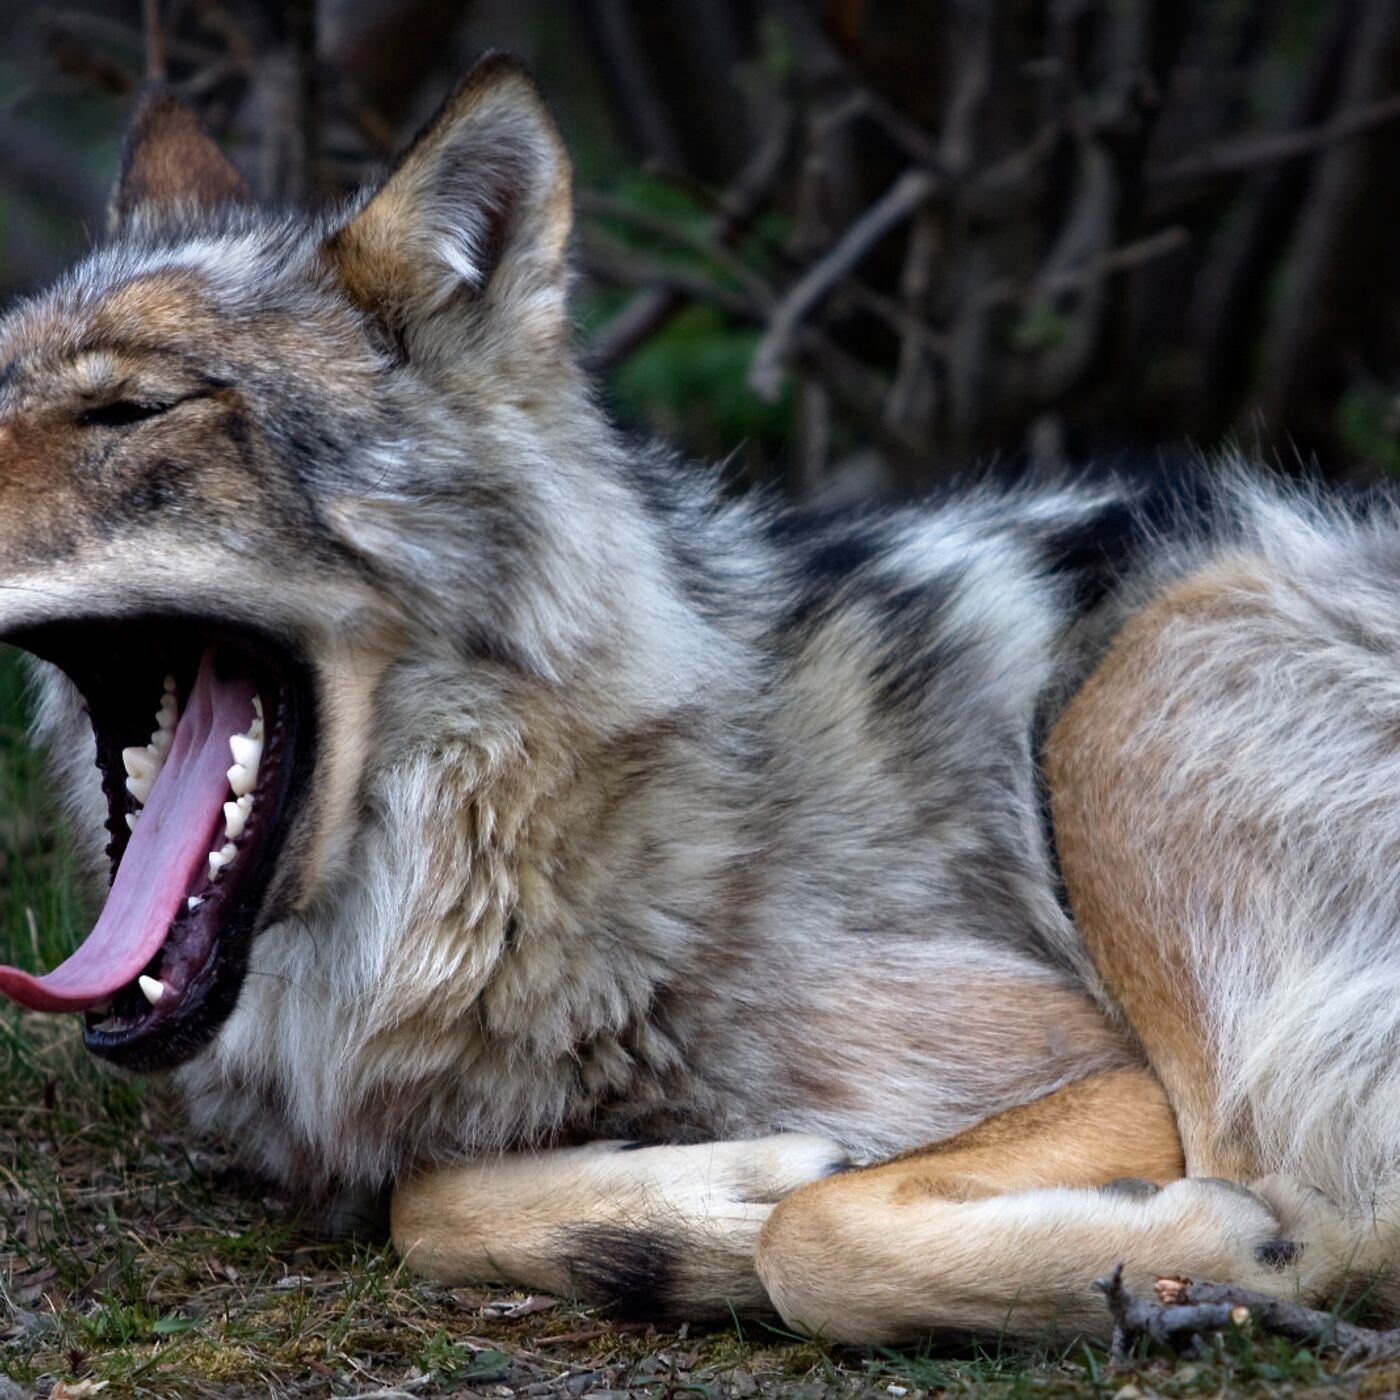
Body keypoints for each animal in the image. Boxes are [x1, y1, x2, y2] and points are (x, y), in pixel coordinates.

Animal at [2, 51, 1400, 1344]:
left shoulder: (1090, 1065)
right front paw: (680, 1203)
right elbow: (428, 1202)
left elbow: (814, 1232)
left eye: (131, 409)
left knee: (1308, 1199)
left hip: (1130, 687)